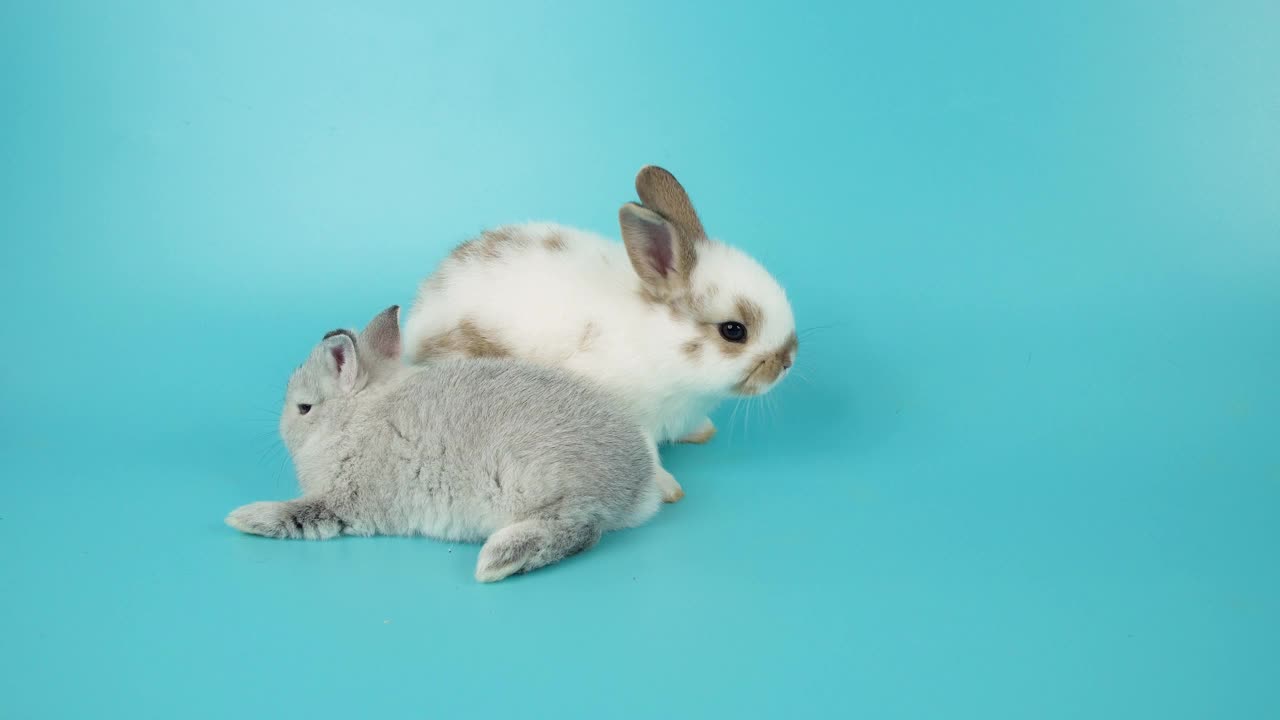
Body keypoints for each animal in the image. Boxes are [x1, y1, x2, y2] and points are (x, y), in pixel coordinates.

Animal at [229, 304, 665, 579]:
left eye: (304, 408)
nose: (282, 431)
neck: (356, 419)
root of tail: (641, 482)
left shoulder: (345, 500)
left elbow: (296, 516)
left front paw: (243, 517)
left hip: (546, 487)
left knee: (580, 530)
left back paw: (498, 561)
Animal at [404, 165, 793, 499]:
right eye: (733, 331)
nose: (787, 360)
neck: (658, 341)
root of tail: (419, 312)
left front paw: (701, 431)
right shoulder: (631, 416)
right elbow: (647, 456)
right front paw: (667, 489)